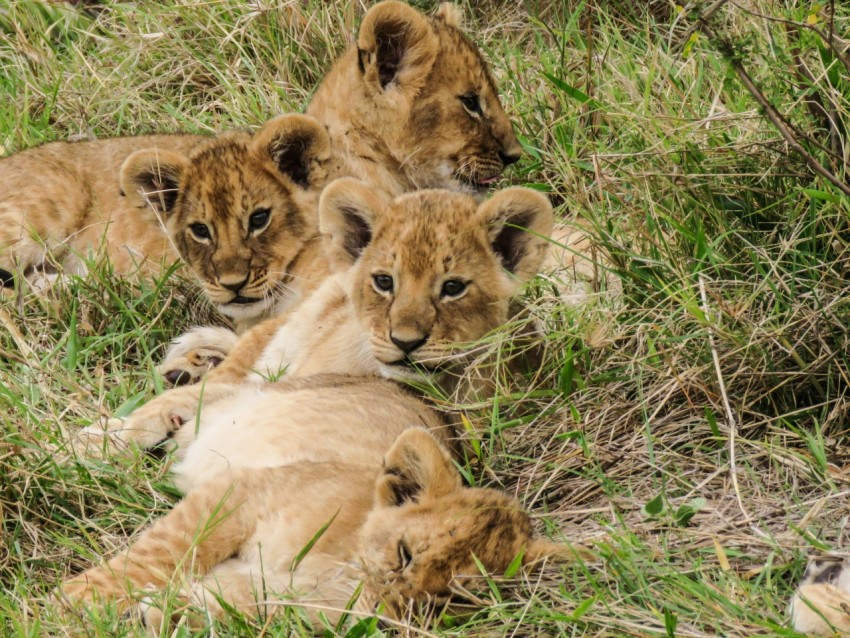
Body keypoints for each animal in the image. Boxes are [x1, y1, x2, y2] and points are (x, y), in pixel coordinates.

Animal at [61, 183, 583, 629]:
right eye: (405, 553)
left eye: (456, 597)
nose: (398, 605)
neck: (341, 569)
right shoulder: (239, 497)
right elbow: (156, 556)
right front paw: (69, 605)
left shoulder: (286, 595)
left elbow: (235, 603)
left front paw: (162, 612)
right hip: (269, 373)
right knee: (190, 395)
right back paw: (90, 443)